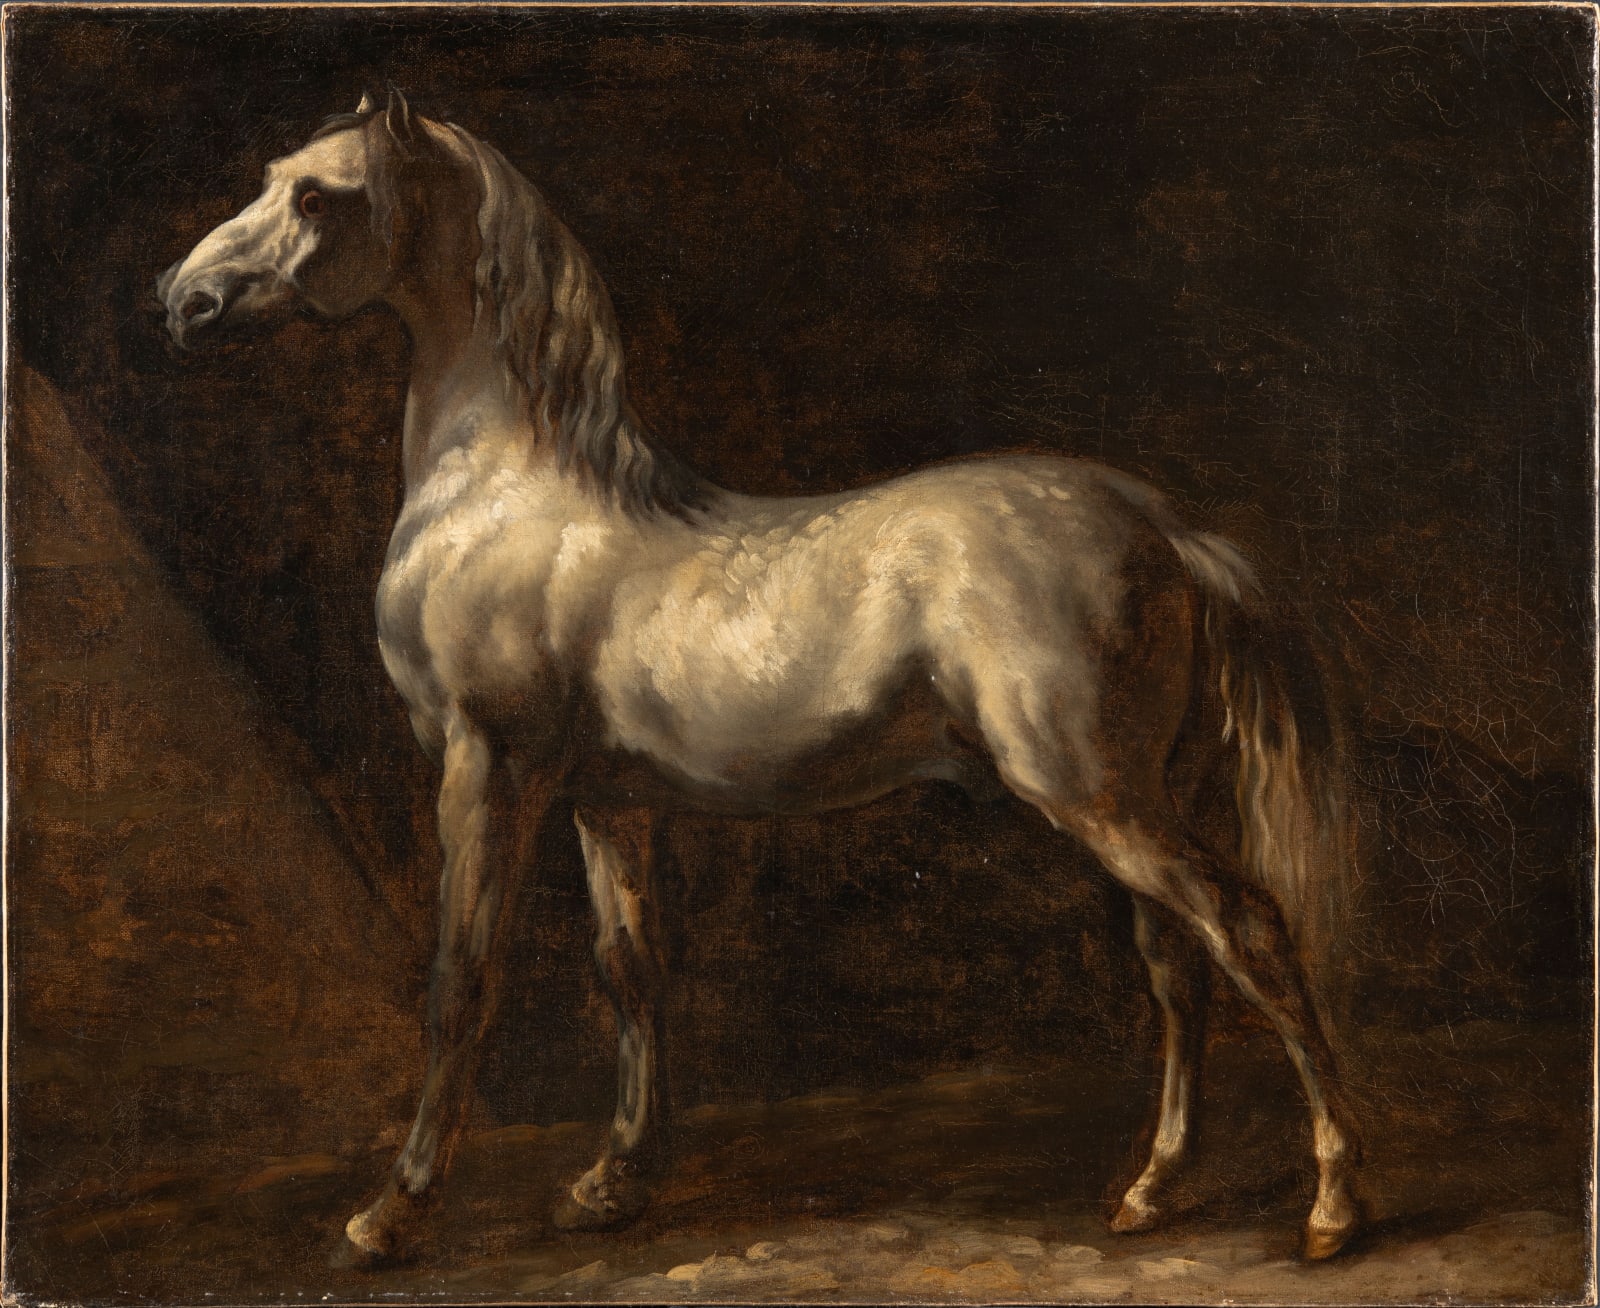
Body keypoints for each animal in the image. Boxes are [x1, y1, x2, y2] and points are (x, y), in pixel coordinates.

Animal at [157, 90, 1364, 1264]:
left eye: (319, 197)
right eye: (272, 179)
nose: (184, 301)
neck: (508, 490)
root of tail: (1168, 530)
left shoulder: (487, 771)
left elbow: (462, 981)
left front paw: (394, 1213)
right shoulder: (608, 801)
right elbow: (631, 970)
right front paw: (613, 1183)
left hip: (1095, 796)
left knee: (1250, 932)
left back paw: (1333, 1204)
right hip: (1135, 799)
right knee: (1180, 967)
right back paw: (1153, 1189)